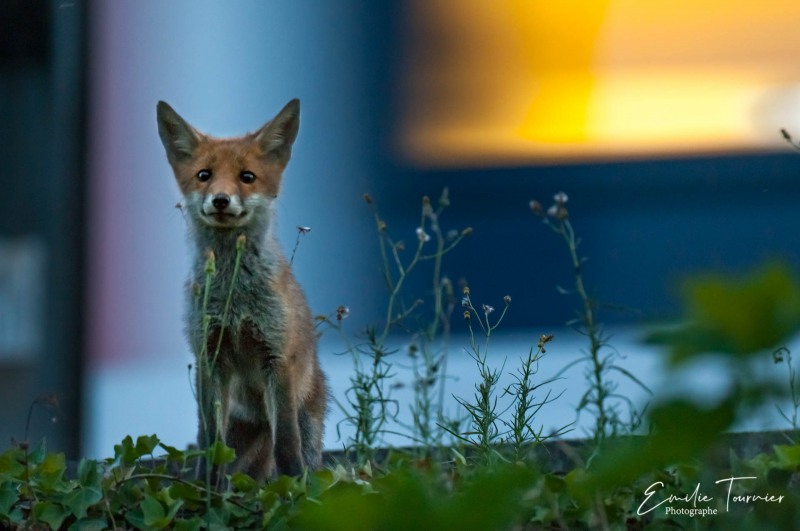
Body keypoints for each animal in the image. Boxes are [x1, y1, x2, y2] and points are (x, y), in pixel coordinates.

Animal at [156, 97, 328, 480]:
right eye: (204, 175)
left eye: (247, 177)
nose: (221, 200)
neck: (233, 295)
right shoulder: (210, 357)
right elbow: (210, 443)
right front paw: (206, 490)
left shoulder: (275, 357)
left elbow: (287, 445)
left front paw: (294, 488)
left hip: (306, 425)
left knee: (296, 454)